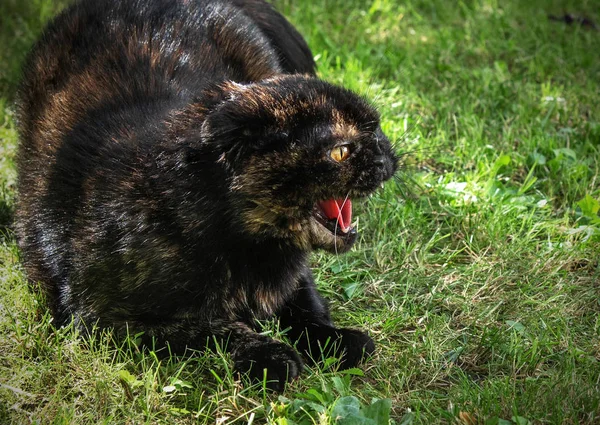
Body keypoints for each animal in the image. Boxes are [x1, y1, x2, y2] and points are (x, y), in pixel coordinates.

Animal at [15, 0, 398, 390]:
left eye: (377, 131)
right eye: (341, 152)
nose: (386, 157)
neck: (250, 248)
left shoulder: (292, 274)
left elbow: (306, 302)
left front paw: (333, 339)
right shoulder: (104, 317)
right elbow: (212, 329)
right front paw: (268, 356)